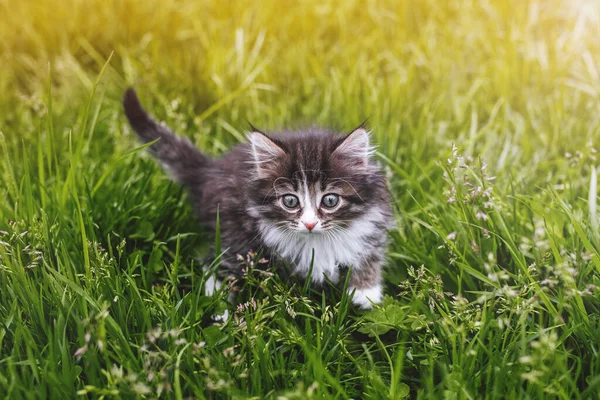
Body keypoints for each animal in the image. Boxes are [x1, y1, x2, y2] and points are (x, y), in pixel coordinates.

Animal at [122, 89, 394, 310]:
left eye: (329, 201)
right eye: (290, 201)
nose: (309, 224)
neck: (318, 240)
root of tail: (209, 170)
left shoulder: (373, 220)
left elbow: (371, 252)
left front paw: (364, 292)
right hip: (232, 229)